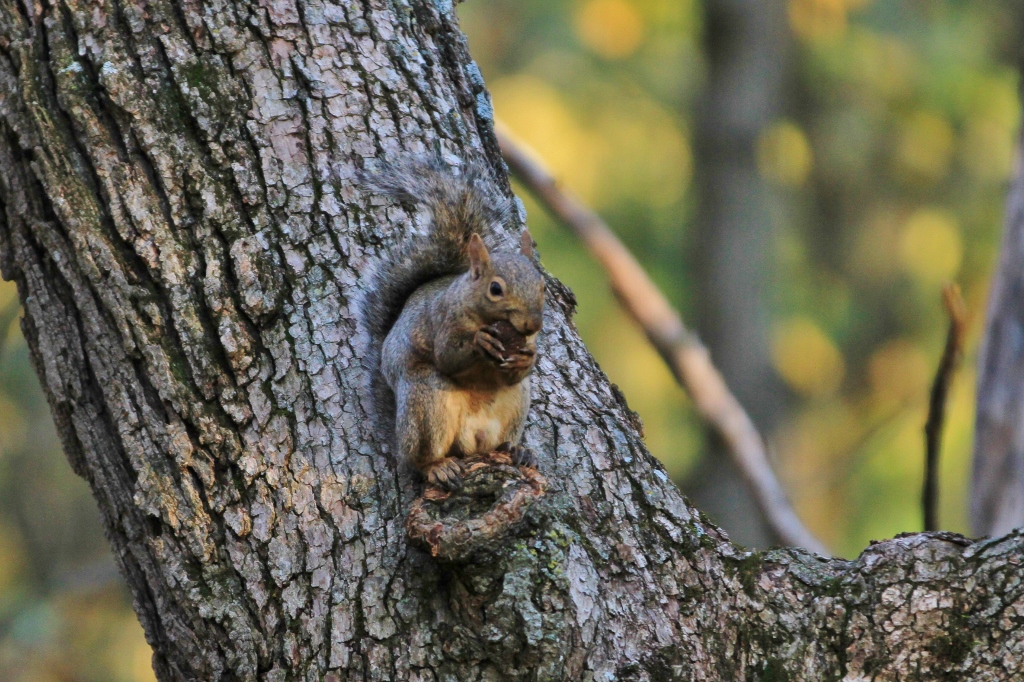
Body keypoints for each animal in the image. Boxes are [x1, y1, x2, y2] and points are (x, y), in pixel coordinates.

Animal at [364, 157, 548, 489]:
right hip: (427, 401)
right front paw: (480, 342)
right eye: (495, 289)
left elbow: (516, 371)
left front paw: (529, 357)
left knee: (501, 436)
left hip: (516, 401)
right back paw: (436, 466)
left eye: (543, 287)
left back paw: (517, 450)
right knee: (420, 458)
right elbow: (447, 358)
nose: (531, 326)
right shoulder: (443, 322)